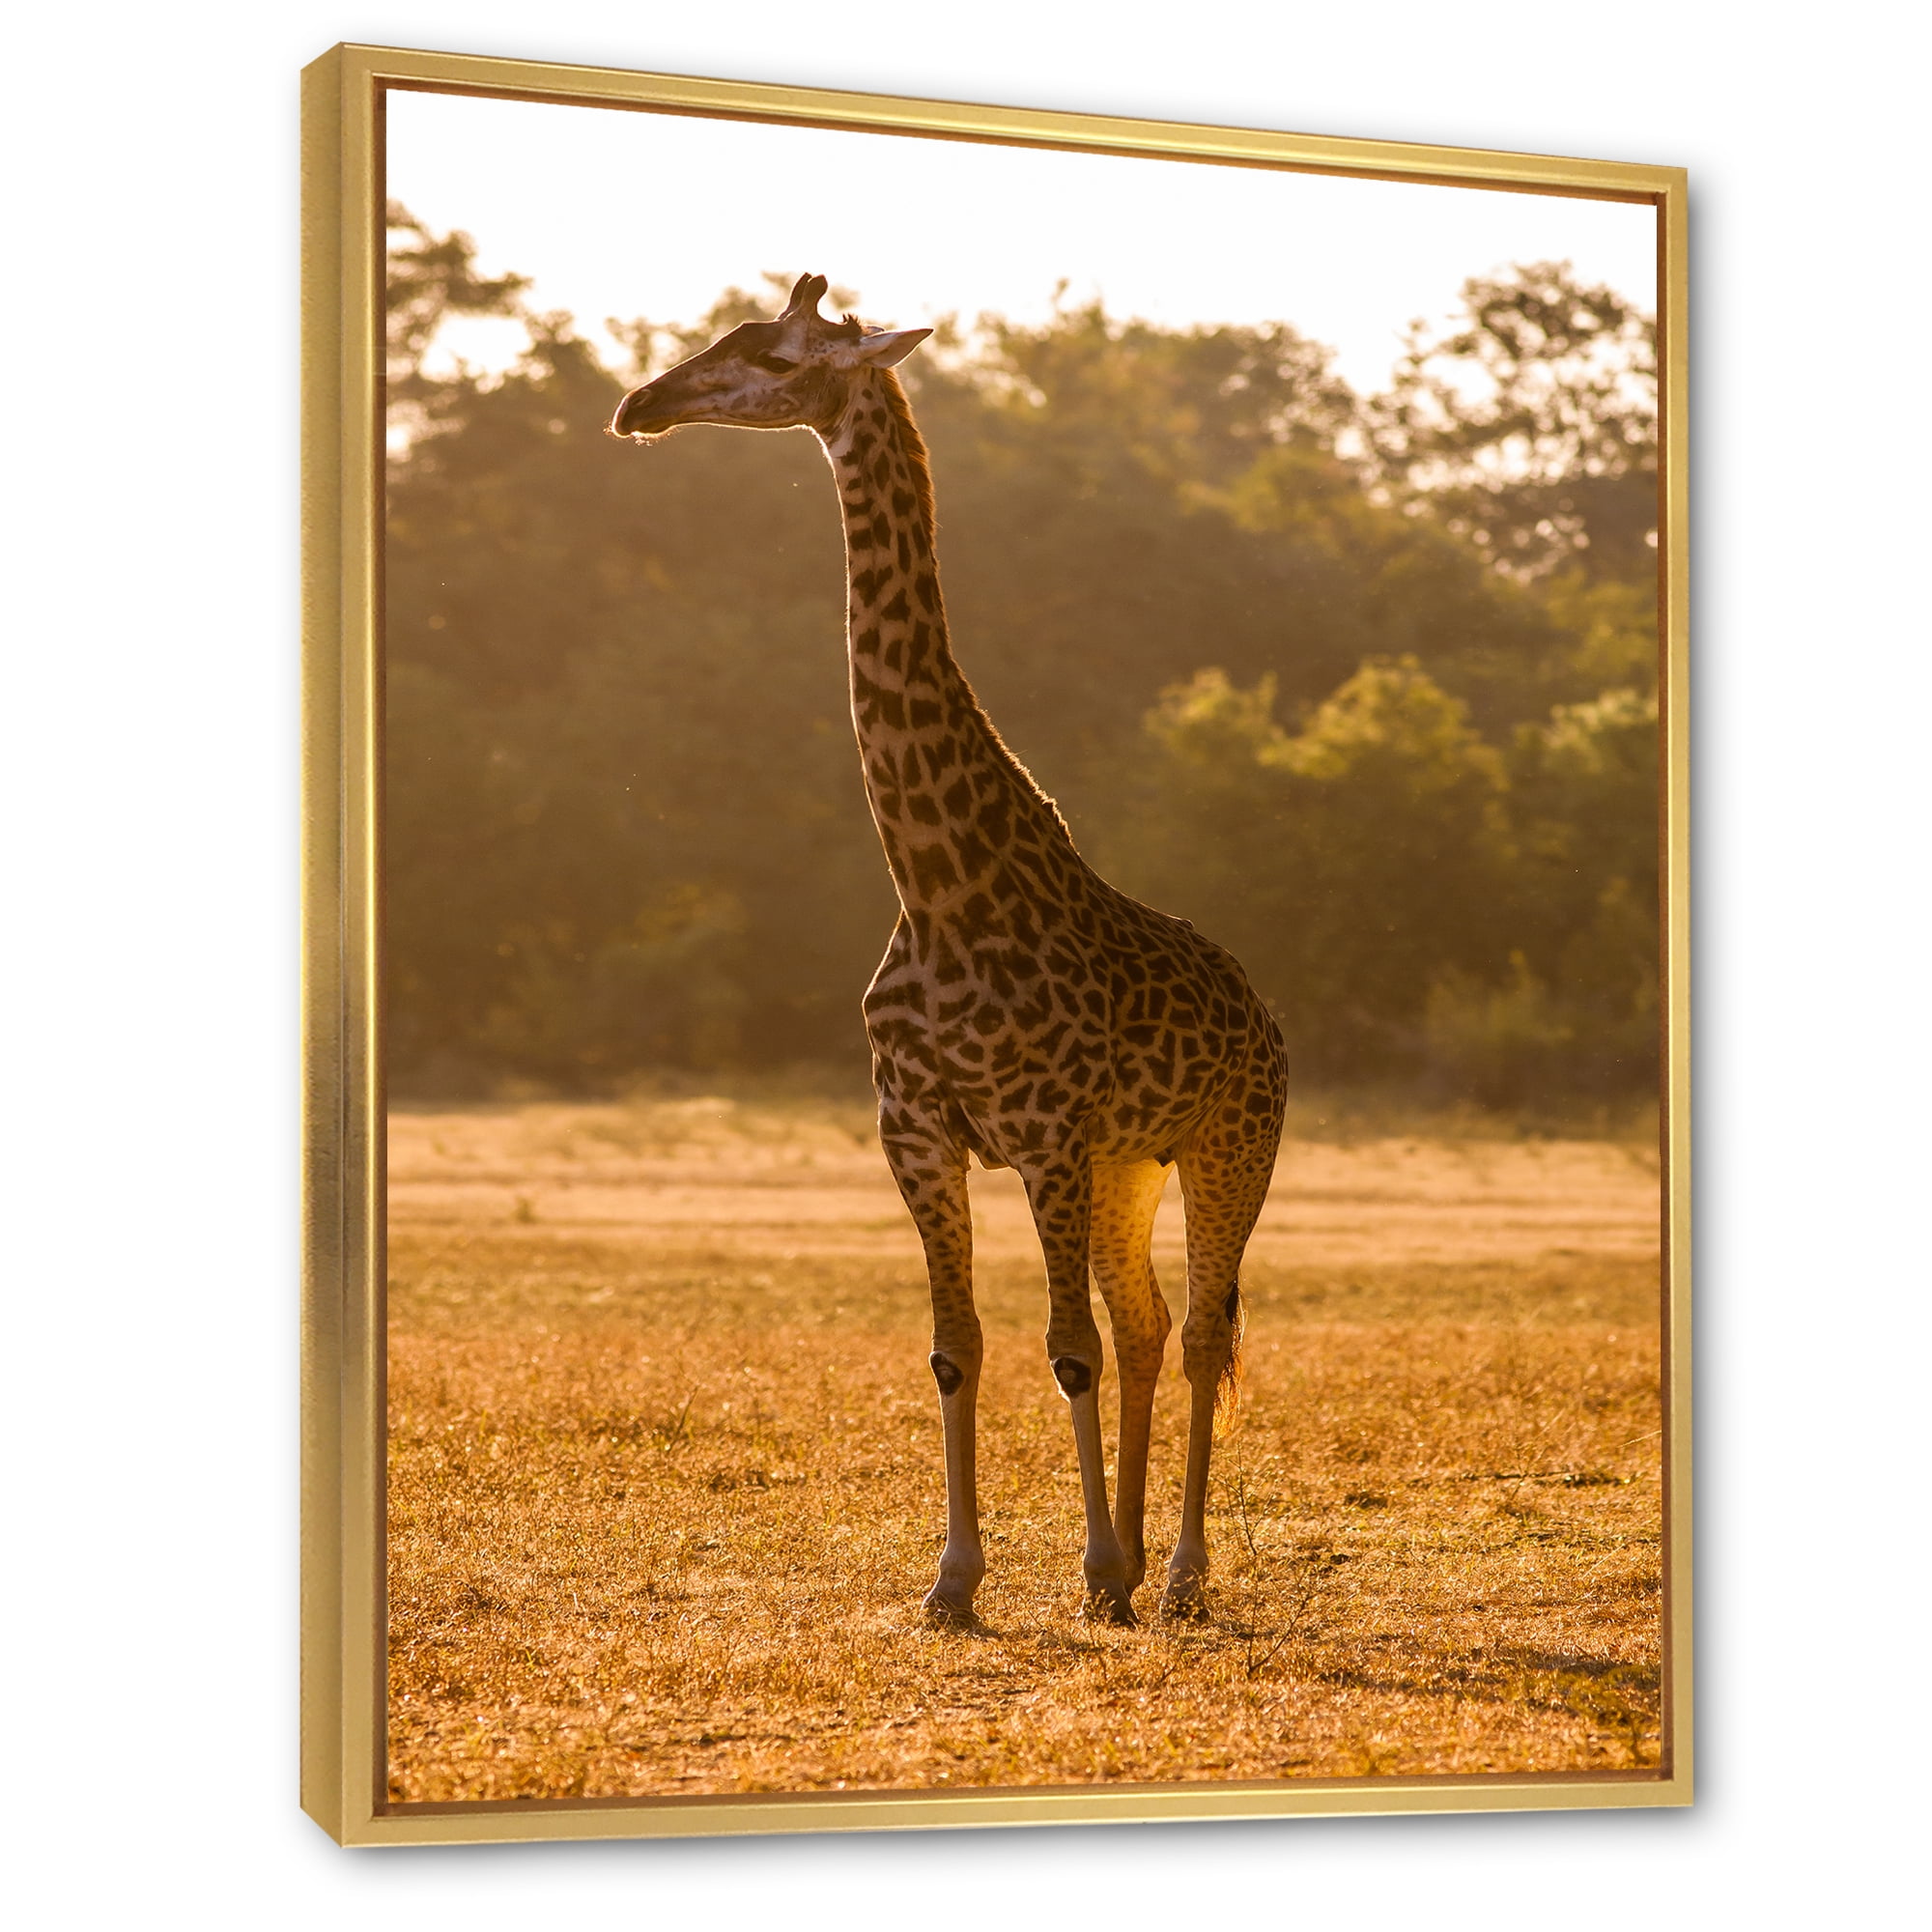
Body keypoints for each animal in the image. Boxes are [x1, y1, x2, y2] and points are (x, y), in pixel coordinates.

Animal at [610, 275, 1287, 1625]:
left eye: (773, 355)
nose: (639, 404)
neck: (935, 885)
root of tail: (1266, 1012)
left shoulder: (1042, 1133)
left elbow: (1063, 1350)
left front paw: (1091, 1565)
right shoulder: (917, 1132)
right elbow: (955, 1346)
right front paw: (959, 1580)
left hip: (1226, 1144)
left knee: (1195, 1332)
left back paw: (1176, 1571)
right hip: (1130, 1165)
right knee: (1145, 1324)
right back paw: (1137, 1553)